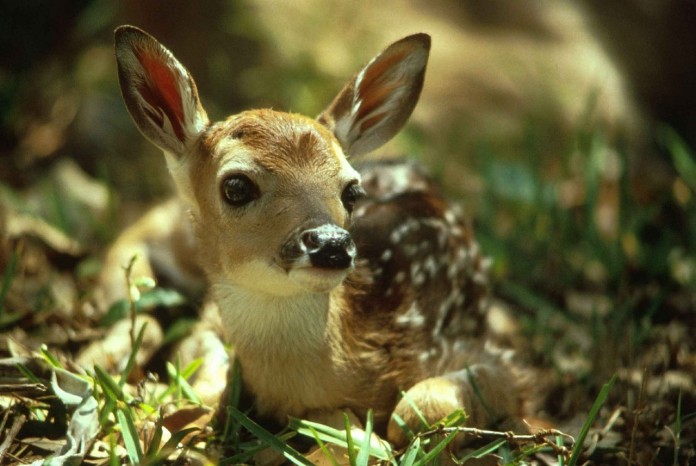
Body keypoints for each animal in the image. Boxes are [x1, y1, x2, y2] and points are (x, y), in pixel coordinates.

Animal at [111, 25, 528, 449]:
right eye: (236, 186)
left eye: (352, 191)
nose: (331, 244)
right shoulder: (210, 321)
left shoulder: (497, 358)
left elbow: (414, 411)